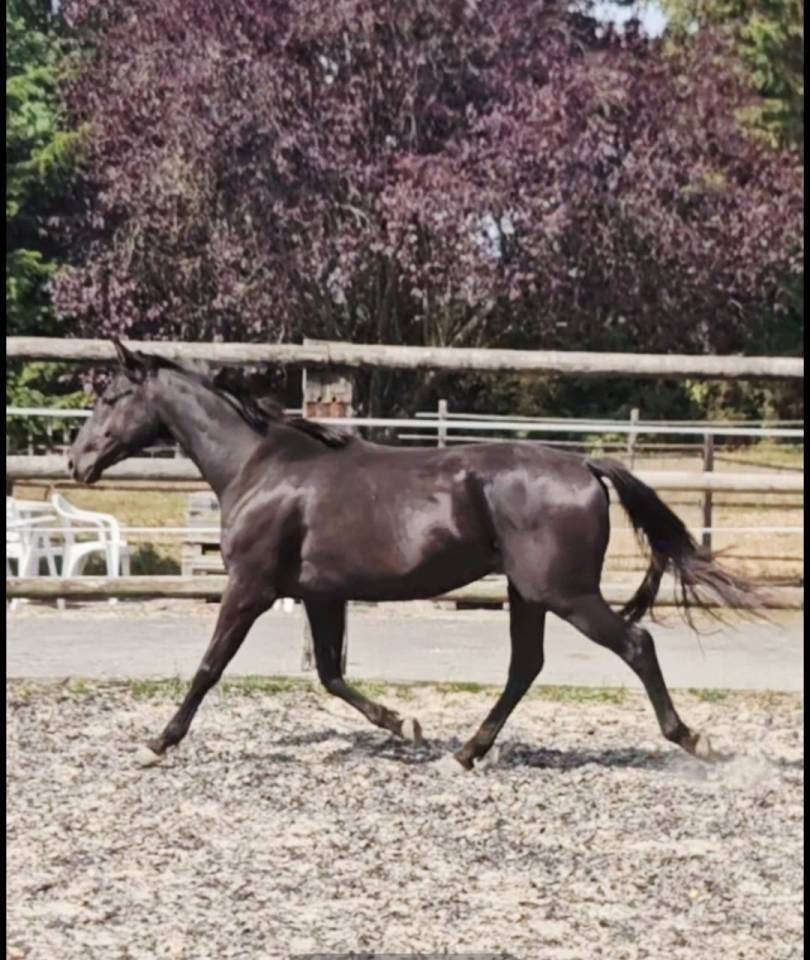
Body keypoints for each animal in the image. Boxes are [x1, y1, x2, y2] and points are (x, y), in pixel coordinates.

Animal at [68, 340, 765, 770]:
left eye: (110, 398)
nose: (76, 462)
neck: (257, 466)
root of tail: (587, 466)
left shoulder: (251, 587)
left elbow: (210, 667)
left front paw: (156, 743)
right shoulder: (321, 592)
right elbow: (330, 673)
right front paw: (407, 725)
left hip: (565, 593)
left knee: (635, 645)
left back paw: (694, 741)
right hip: (527, 593)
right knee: (525, 667)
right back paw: (464, 754)